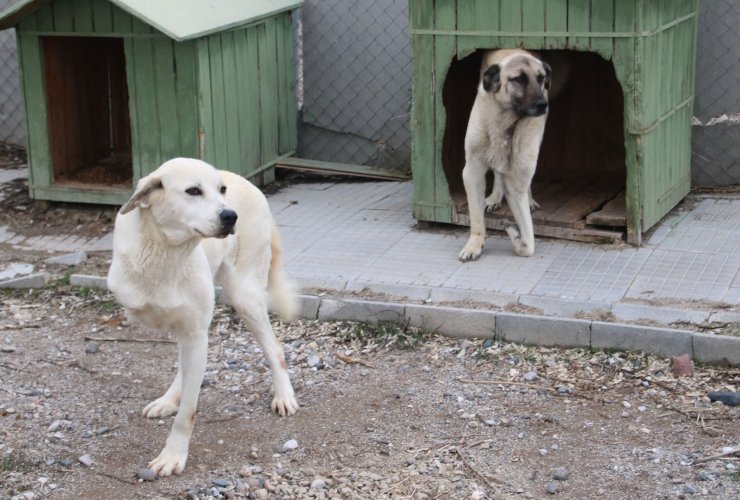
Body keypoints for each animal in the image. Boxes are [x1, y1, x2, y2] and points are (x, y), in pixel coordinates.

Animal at [107, 158, 298, 474]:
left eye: (222, 190)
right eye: (193, 191)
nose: (230, 215)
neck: (166, 252)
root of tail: (248, 182)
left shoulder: (195, 332)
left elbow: (188, 413)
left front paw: (173, 456)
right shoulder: (180, 325)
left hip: (245, 297)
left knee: (275, 348)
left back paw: (284, 395)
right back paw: (168, 399)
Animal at [460, 49, 552, 262]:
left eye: (541, 78)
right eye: (519, 79)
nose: (543, 105)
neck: (505, 125)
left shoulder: (517, 186)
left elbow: (529, 244)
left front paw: (514, 232)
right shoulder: (472, 173)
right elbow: (476, 219)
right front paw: (475, 244)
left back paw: (529, 200)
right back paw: (494, 197)